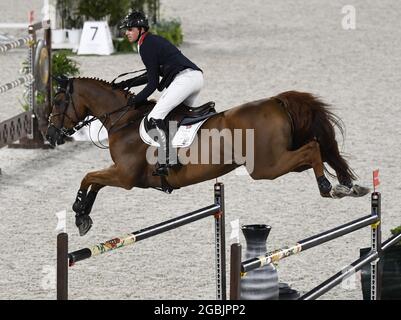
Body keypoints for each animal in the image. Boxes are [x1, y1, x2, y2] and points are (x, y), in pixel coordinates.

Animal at [45, 78, 368, 235]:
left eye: (59, 101)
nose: (49, 135)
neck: (123, 119)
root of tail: (276, 101)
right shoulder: (121, 174)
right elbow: (95, 183)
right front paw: (83, 216)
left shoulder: (125, 177)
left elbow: (88, 177)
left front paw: (78, 211)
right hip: (279, 161)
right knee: (317, 151)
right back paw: (348, 185)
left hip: (266, 167)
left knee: (313, 149)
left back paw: (329, 187)